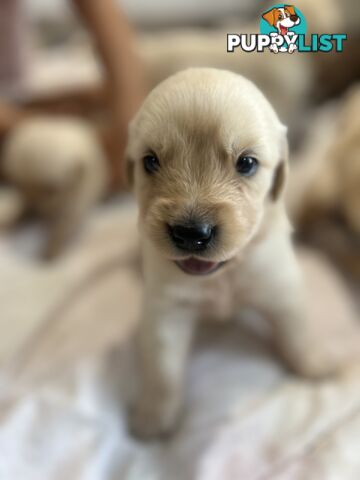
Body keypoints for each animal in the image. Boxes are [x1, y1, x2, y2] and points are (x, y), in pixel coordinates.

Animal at [2, 116, 107, 258]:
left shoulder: (77, 198)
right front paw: (11, 220)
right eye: (18, 185)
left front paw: (51, 250)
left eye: (51, 191)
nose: (36, 212)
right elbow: (21, 210)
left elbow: (65, 224)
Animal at [124, 67, 360, 438]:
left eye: (246, 163)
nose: (191, 233)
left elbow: (297, 332)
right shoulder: (165, 307)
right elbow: (163, 368)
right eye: (150, 161)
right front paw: (154, 414)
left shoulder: (281, 285)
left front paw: (312, 363)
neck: (224, 273)